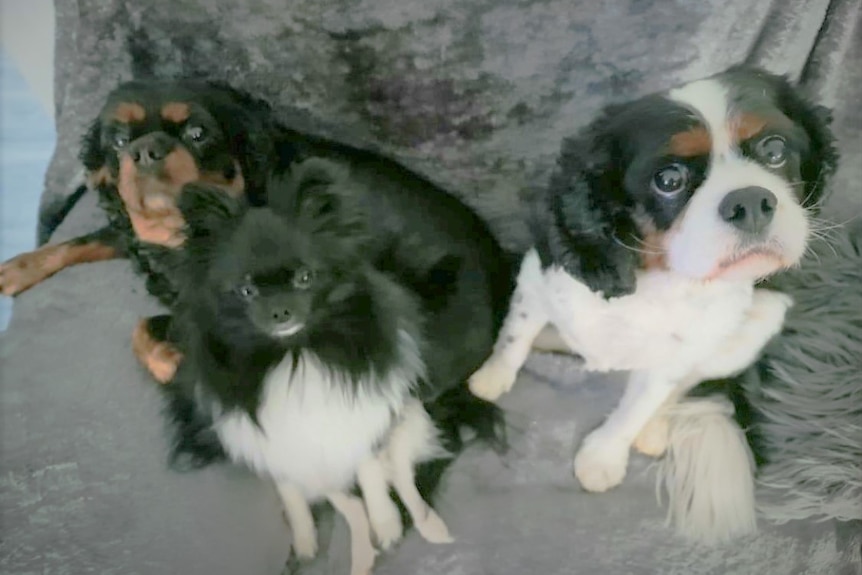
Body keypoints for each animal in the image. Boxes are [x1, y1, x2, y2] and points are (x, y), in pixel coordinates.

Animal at [165, 156, 510, 572]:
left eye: (305, 277)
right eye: (245, 290)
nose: (280, 311)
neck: (296, 355)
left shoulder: (365, 413)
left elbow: (370, 468)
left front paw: (386, 523)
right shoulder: (273, 434)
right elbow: (290, 486)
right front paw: (304, 541)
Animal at [470, 65, 840, 544]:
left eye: (774, 150)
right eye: (668, 180)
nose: (750, 201)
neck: (662, 281)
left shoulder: (672, 357)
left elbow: (636, 407)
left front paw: (603, 457)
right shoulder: (540, 278)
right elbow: (515, 333)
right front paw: (492, 375)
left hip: (758, 321)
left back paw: (656, 428)